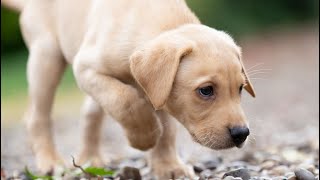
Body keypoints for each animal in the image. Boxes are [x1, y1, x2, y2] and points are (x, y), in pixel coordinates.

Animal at [1, 0, 255, 178]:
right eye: (206, 90)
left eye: (240, 89)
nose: (241, 134)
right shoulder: (86, 68)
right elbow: (125, 101)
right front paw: (145, 138)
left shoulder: (158, 92)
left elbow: (167, 129)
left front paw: (169, 166)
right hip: (47, 56)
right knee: (37, 116)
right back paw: (51, 162)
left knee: (90, 113)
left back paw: (91, 158)